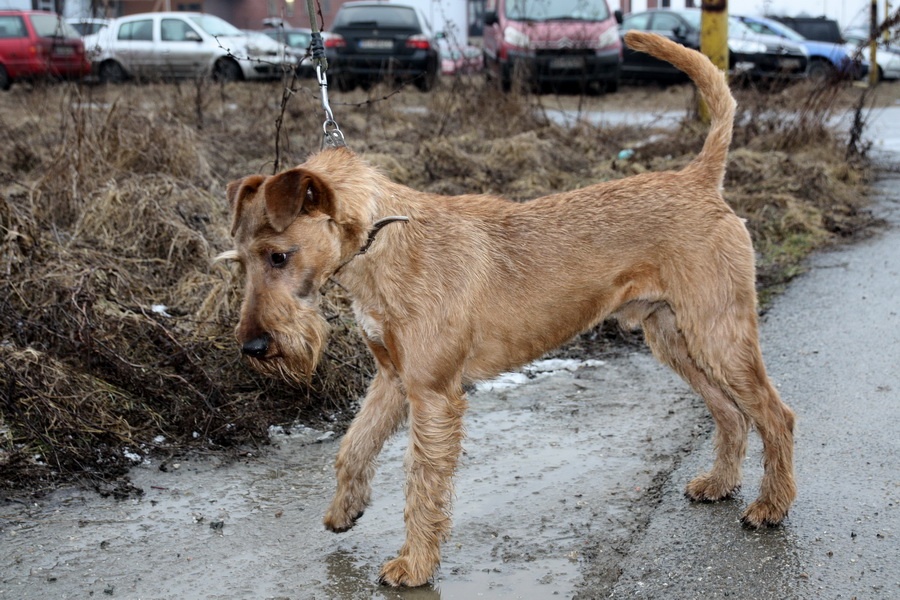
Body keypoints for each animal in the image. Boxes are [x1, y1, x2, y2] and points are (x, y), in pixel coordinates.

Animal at [221, 31, 800, 584]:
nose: (252, 346)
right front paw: (346, 509)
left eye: (278, 255)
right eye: (242, 259)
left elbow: (422, 484)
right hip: (677, 338)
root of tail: (699, 179)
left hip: (718, 334)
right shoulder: (392, 378)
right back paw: (720, 483)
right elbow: (354, 446)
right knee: (731, 414)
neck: (383, 240)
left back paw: (770, 506)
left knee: (777, 414)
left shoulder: (432, 394)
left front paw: (414, 565)